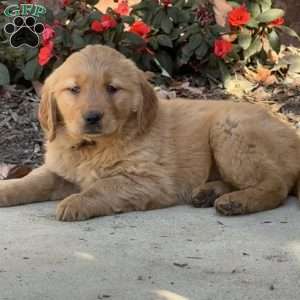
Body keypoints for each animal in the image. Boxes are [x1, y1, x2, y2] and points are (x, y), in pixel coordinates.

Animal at [0, 45, 300, 221]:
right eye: (74, 89)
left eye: (112, 88)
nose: (93, 117)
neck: (93, 146)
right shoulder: (60, 171)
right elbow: (31, 181)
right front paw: (5, 190)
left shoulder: (147, 180)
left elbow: (104, 186)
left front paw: (77, 202)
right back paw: (209, 193)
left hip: (229, 129)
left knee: (276, 185)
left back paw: (237, 202)